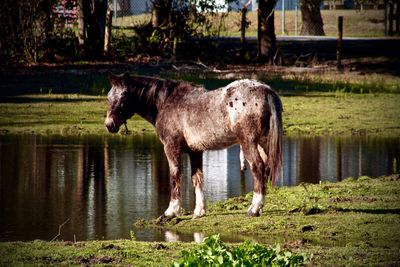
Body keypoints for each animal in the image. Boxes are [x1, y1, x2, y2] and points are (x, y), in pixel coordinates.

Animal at [104, 72, 282, 219]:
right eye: (108, 97)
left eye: (124, 97)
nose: (109, 125)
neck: (166, 102)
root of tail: (265, 91)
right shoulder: (195, 151)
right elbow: (197, 178)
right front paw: (199, 211)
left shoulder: (171, 148)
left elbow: (175, 175)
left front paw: (171, 211)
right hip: (263, 143)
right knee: (266, 167)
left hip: (248, 142)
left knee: (258, 167)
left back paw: (254, 208)